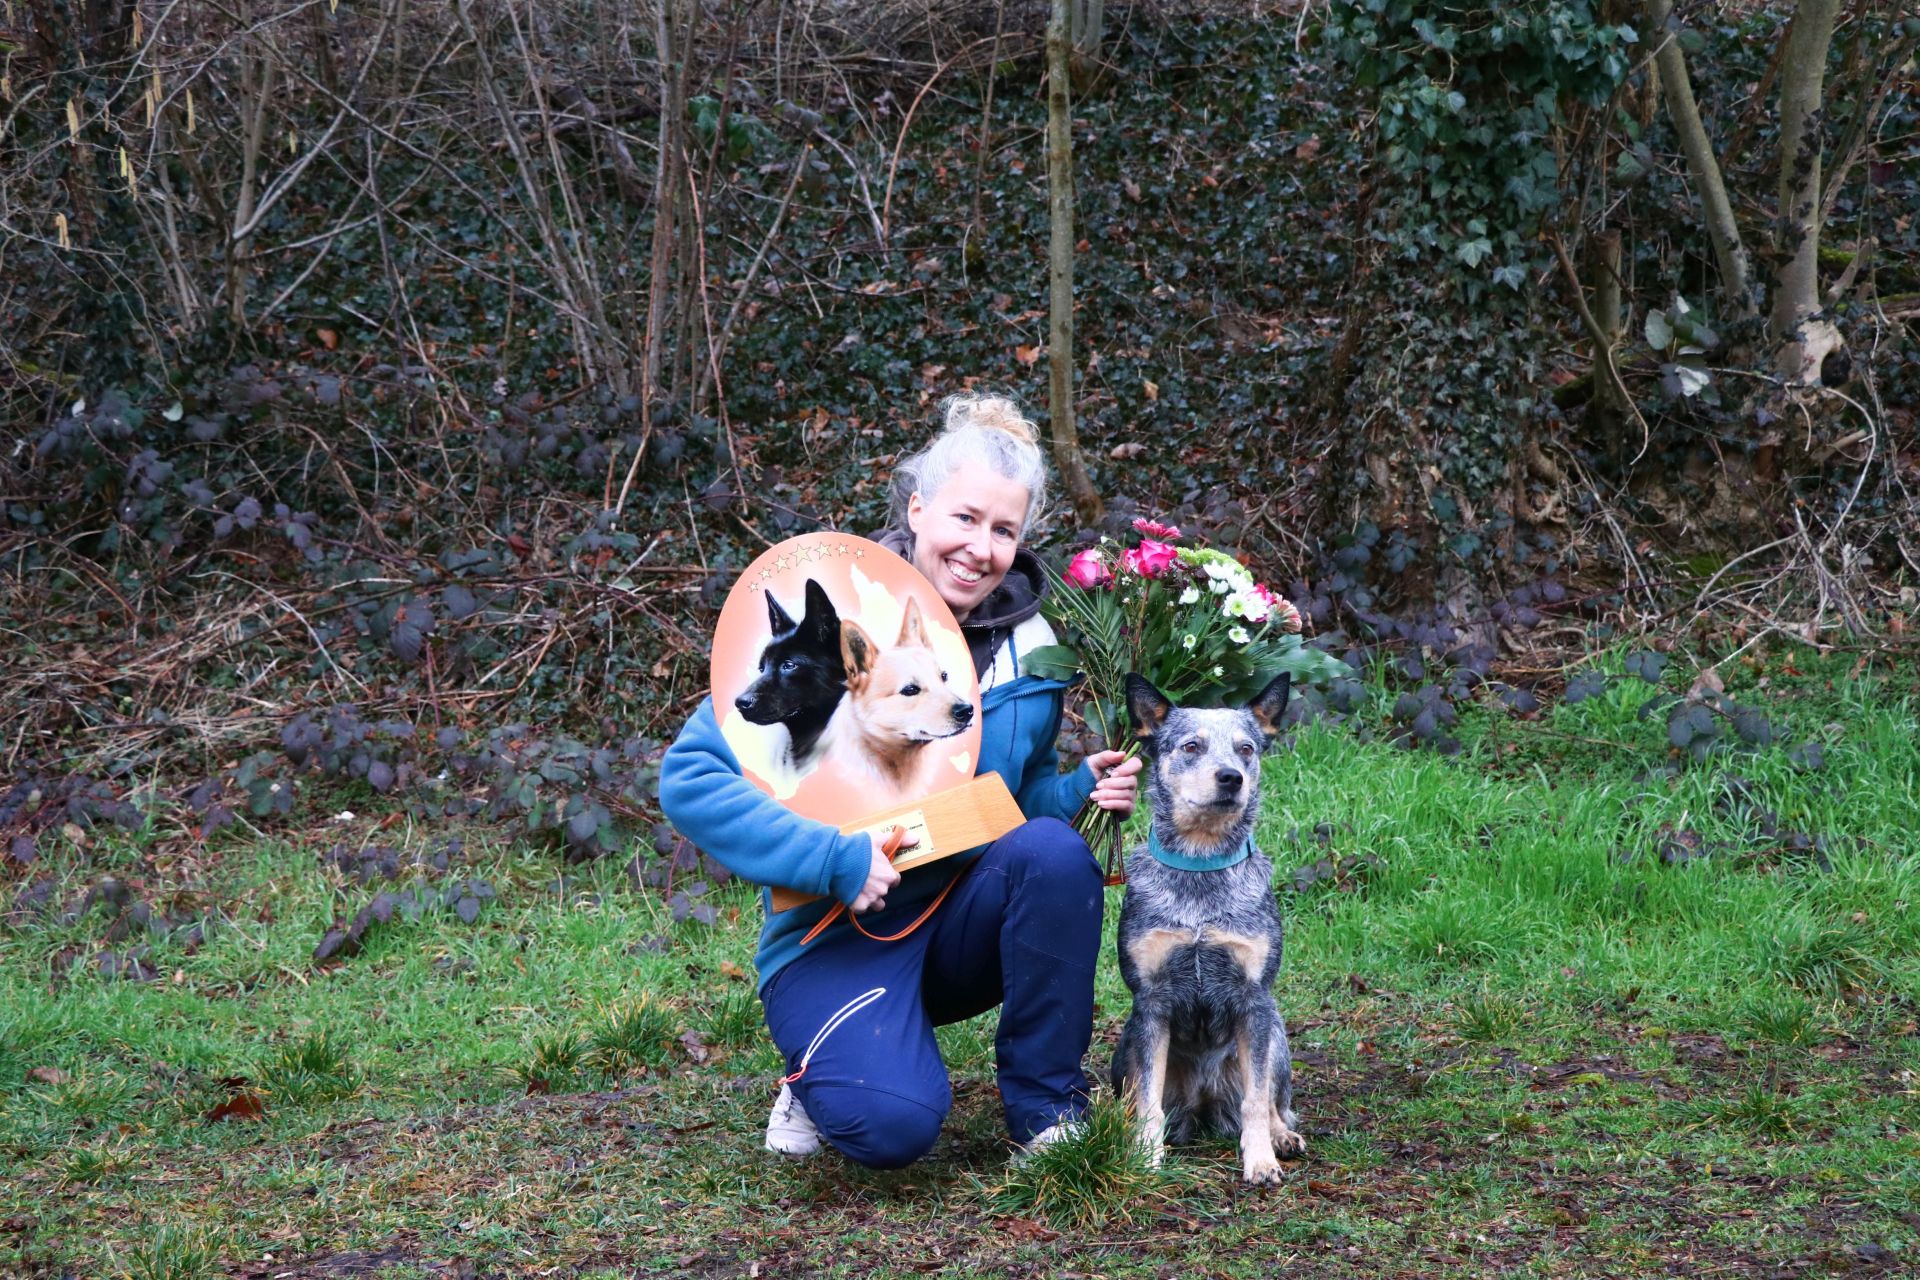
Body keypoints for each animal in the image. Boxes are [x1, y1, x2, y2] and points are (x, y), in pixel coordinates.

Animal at [1112, 671, 1304, 1185]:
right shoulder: (1151, 1003)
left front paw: (1261, 1160)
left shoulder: (1254, 999)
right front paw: (1145, 1158)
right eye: (1192, 745)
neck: (1201, 872)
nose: (1230, 777)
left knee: (1272, 1101)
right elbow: (1147, 1102)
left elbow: (1256, 1100)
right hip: (1125, 1047)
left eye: (1246, 748)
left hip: (1275, 1037)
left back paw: (1282, 1136)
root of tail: (1203, 1103)